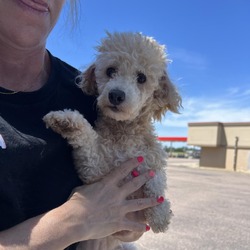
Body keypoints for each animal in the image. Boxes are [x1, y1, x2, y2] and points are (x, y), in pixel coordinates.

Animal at [43, 31, 182, 248]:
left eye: (141, 77)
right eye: (110, 71)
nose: (116, 94)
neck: (123, 132)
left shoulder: (152, 157)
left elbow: (157, 177)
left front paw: (160, 214)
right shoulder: (94, 169)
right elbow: (86, 139)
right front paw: (65, 120)